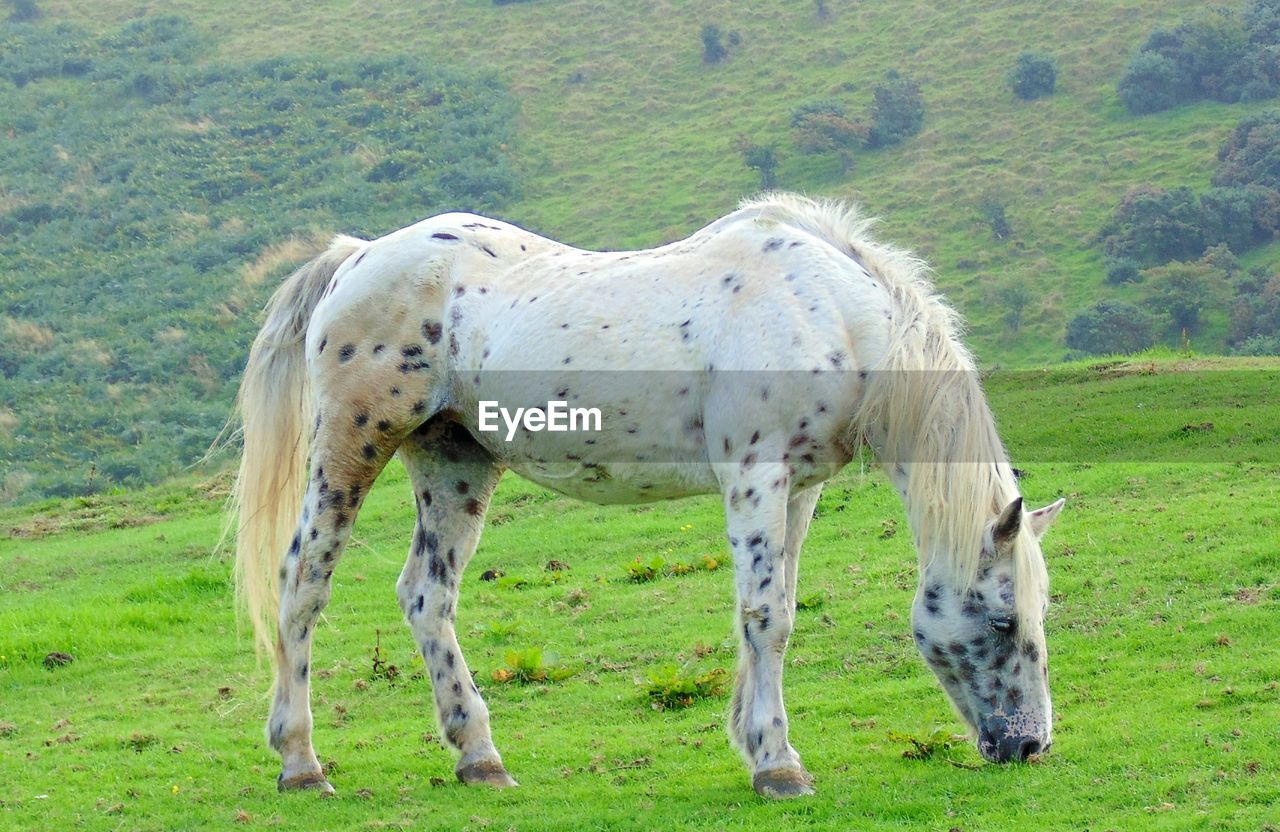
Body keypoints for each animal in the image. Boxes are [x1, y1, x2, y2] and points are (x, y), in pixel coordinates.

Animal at [232, 193, 1070, 798]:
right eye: (1003, 619)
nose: (1030, 745)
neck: (828, 311)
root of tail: (357, 257)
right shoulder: (755, 476)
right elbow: (767, 617)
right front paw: (779, 766)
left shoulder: (797, 490)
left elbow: (774, 607)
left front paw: (753, 742)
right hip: (351, 448)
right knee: (302, 585)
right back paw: (301, 764)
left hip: (455, 461)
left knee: (426, 596)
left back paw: (480, 758)